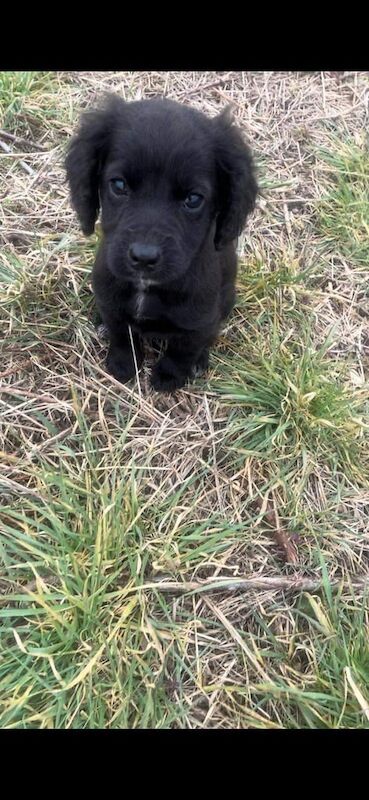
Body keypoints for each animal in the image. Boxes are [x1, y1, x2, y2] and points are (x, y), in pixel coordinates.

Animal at [65, 94, 256, 390]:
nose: (143, 257)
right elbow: (122, 335)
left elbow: (183, 350)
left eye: (193, 199)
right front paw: (123, 364)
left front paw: (169, 377)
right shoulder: (111, 300)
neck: (147, 288)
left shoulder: (199, 320)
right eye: (118, 185)